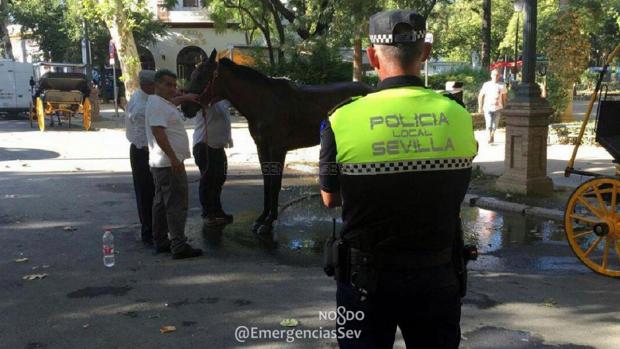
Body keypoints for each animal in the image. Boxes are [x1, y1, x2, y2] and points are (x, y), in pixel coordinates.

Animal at [182, 49, 370, 234]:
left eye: (202, 77)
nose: (185, 108)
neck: (263, 102)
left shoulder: (277, 149)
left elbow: (275, 184)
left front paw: (268, 222)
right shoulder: (262, 148)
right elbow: (267, 183)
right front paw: (262, 218)